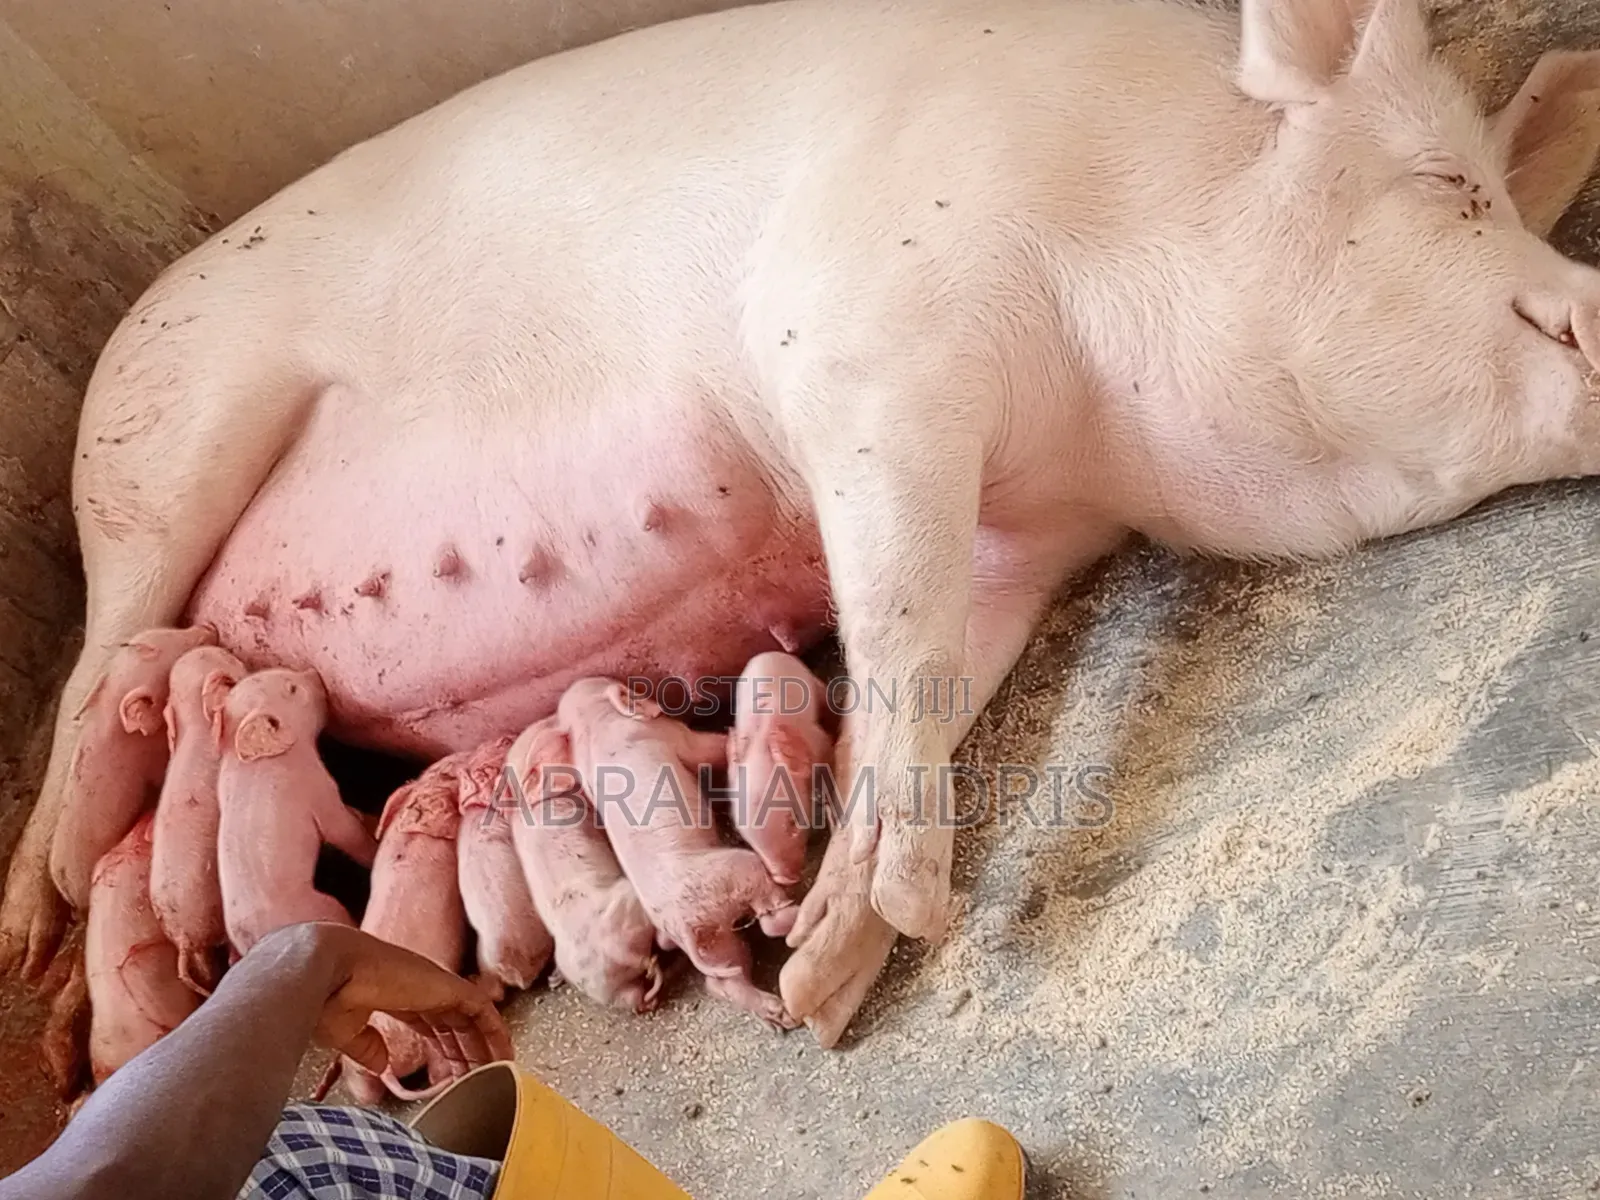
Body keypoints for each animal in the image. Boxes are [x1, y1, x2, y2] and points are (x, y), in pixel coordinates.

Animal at [558, 678, 797, 1027]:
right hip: (736, 871)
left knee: (724, 981)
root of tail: (680, 927)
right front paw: (730, 737)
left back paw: (779, 1017)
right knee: (767, 918)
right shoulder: (667, 735)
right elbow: (703, 749)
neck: (590, 727)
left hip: (715, 940)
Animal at [727, 652, 835, 885]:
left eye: (793, 822)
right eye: (746, 838)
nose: (784, 879)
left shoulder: (818, 740)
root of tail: (765, 654)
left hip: (812, 682)